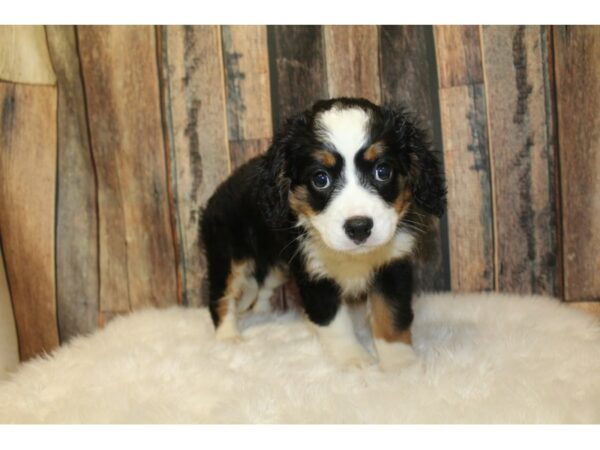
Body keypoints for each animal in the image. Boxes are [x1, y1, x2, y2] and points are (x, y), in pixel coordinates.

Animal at [202, 96, 446, 370]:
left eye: (383, 171)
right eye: (321, 179)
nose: (359, 227)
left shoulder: (392, 264)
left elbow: (392, 316)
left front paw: (401, 364)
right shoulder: (315, 273)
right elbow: (334, 322)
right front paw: (355, 360)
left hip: (275, 265)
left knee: (263, 285)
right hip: (227, 255)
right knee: (221, 295)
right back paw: (228, 337)